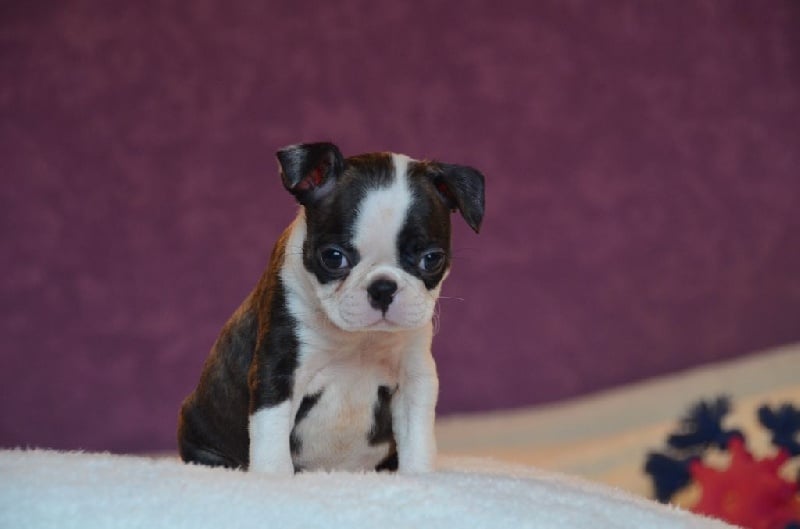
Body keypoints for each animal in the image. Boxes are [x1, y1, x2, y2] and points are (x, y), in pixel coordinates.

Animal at [177, 142, 485, 474]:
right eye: (333, 257)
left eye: (432, 259)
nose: (382, 288)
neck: (359, 339)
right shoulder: (279, 370)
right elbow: (271, 436)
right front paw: (273, 478)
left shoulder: (414, 376)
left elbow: (417, 438)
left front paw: (418, 476)